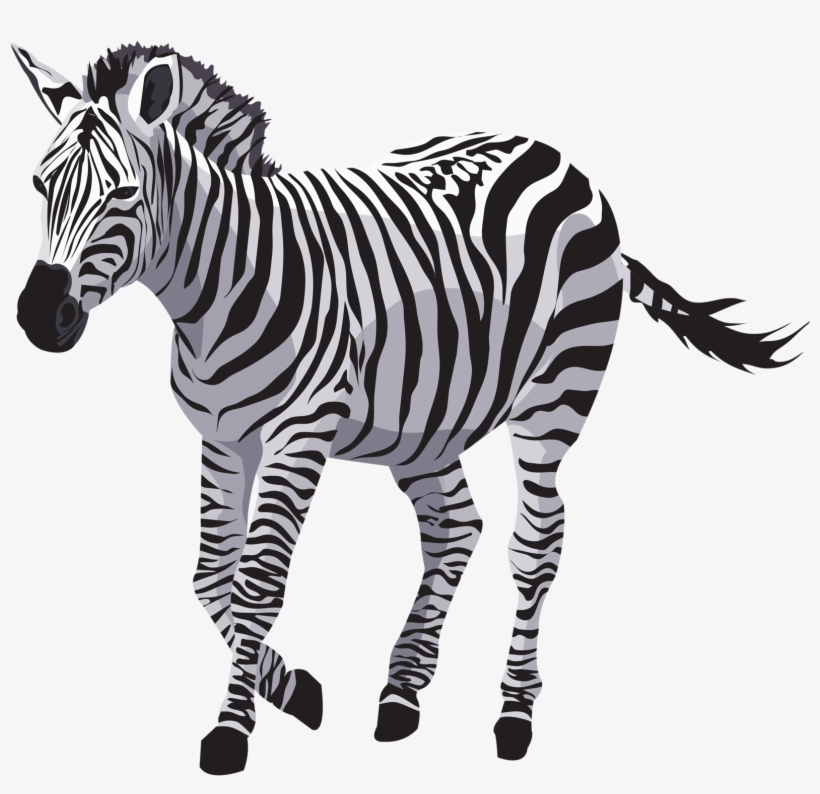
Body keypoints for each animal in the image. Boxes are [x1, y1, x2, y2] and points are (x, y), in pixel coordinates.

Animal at [11, 43, 804, 775]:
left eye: (122, 194)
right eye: (39, 184)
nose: (38, 316)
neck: (217, 289)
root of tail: (558, 157)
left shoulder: (298, 434)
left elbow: (257, 583)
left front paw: (232, 734)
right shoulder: (221, 436)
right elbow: (213, 578)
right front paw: (299, 692)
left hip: (555, 394)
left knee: (536, 541)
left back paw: (513, 714)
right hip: (427, 420)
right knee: (456, 526)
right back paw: (400, 694)